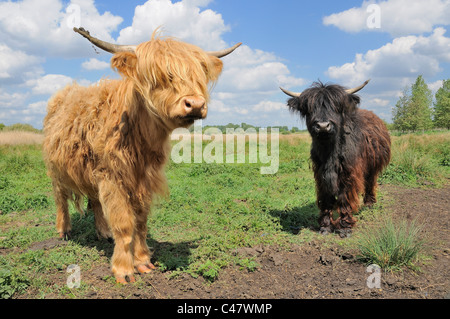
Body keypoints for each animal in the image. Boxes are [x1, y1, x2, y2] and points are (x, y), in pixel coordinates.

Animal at [282, 81, 390, 238]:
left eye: (335, 107)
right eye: (310, 108)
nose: (323, 126)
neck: (329, 152)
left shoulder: (349, 174)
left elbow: (345, 198)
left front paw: (345, 228)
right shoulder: (321, 174)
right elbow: (326, 198)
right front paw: (325, 226)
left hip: (373, 165)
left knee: (370, 182)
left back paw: (369, 204)